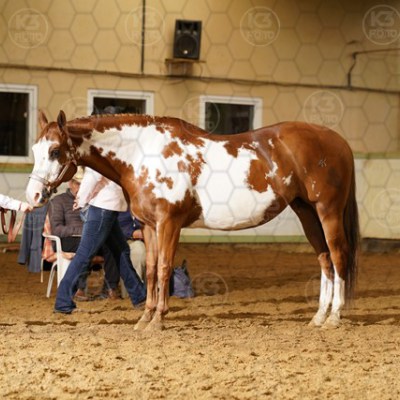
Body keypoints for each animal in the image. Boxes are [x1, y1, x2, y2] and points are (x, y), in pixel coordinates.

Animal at [26, 110, 359, 331]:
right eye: (34, 149)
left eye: (55, 151)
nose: (34, 195)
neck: (142, 154)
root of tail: (338, 141)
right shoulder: (149, 226)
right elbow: (149, 270)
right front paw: (144, 317)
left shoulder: (169, 223)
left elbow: (163, 268)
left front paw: (158, 319)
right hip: (306, 212)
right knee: (324, 259)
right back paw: (318, 317)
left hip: (327, 211)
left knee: (338, 256)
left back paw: (335, 316)